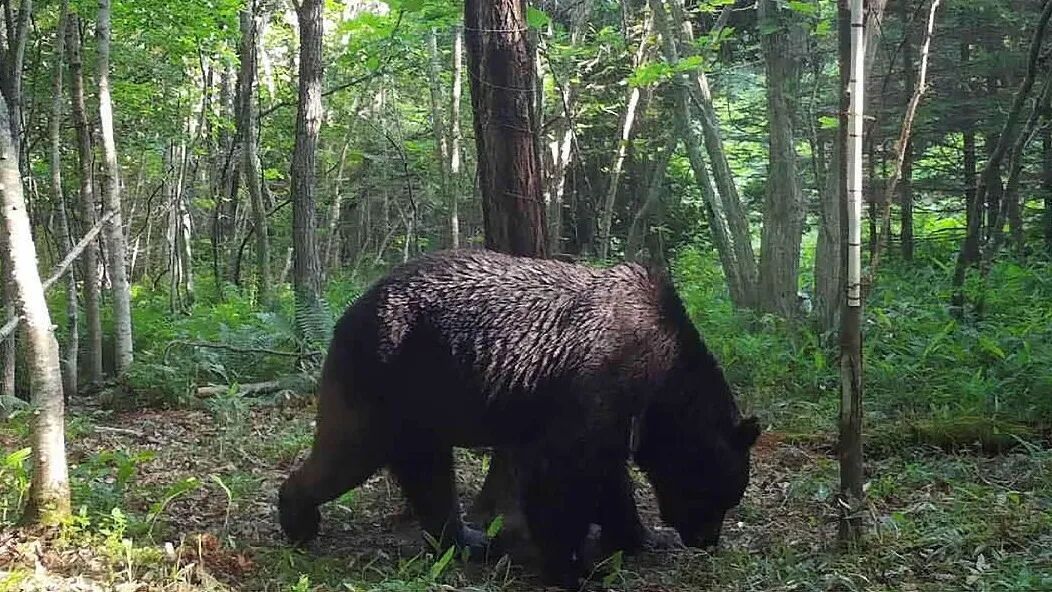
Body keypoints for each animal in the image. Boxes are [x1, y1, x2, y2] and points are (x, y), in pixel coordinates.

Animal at [278, 248, 760, 587]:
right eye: (720, 496)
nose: (707, 540)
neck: (661, 380)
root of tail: (351, 308)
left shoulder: (613, 419)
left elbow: (608, 479)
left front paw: (638, 537)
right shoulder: (595, 388)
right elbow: (561, 476)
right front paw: (571, 568)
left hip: (422, 405)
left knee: (428, 474)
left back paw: (466, 540)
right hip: (384, 377)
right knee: (348, 452)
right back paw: (297, 518)